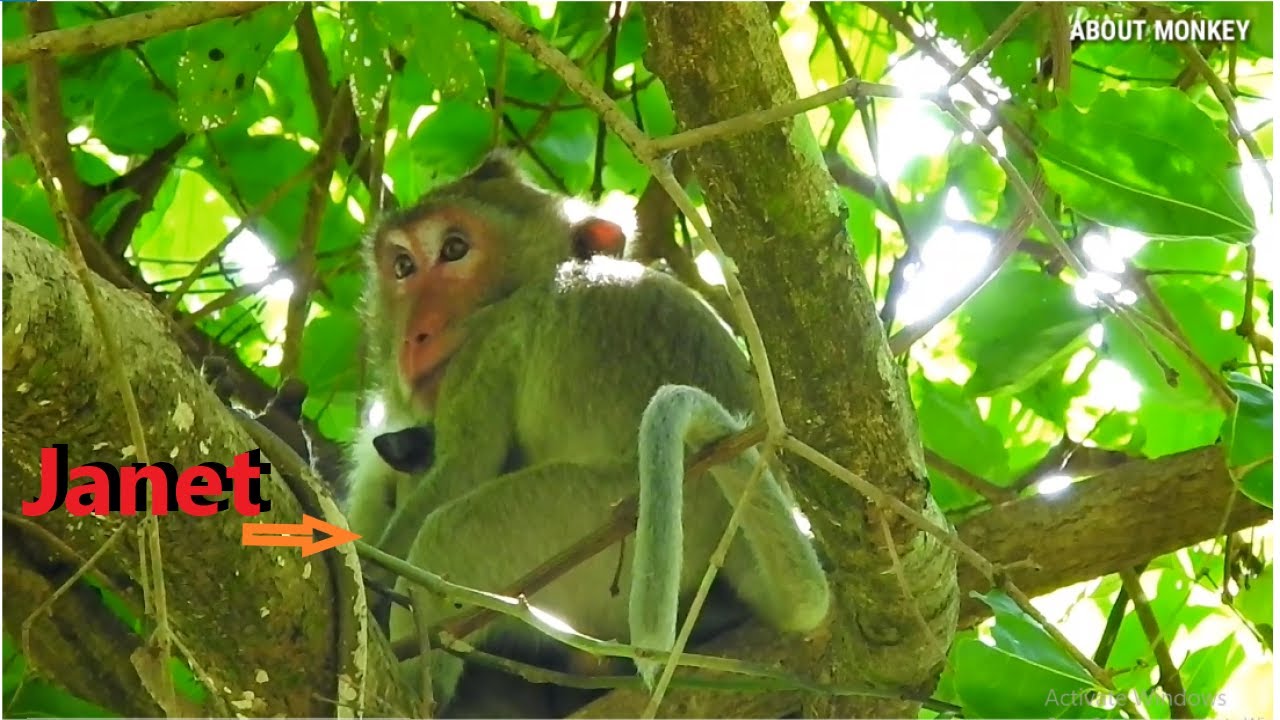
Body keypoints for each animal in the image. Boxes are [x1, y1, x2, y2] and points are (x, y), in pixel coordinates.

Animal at [343, 150, 831, 714]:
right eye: (403, 267)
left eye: (455, 249)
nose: (415, 335)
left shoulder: (486, 345)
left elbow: (463, 467)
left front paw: (371, 567)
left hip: (596, 519)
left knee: (449, 537)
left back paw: (424, 688)